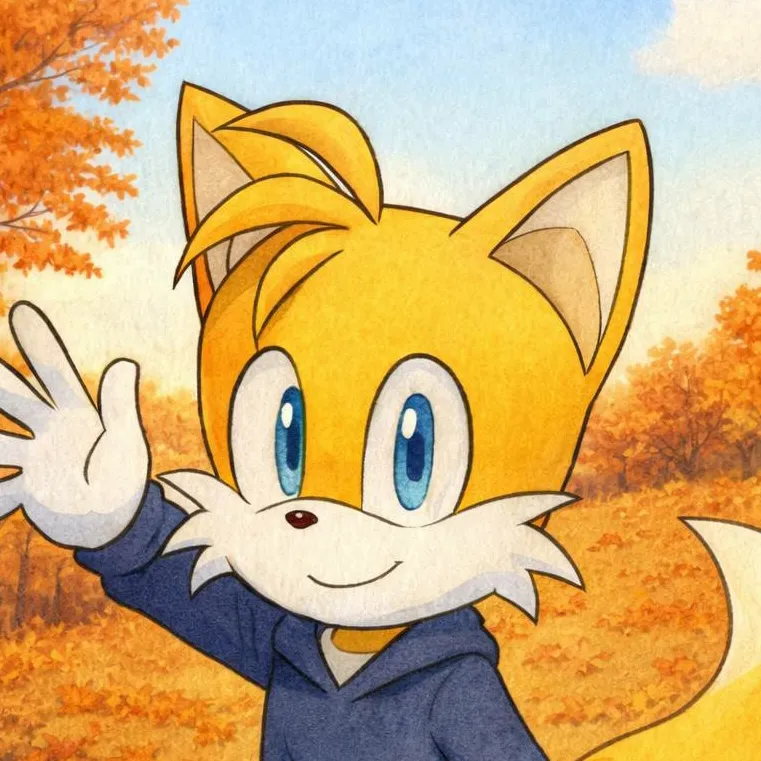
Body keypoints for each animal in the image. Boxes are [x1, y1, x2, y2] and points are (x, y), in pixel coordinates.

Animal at [0, 82, 757, 760]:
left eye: (413, 455)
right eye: (285, 440)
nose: (301, 517)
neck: (358, 643)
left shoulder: (463, 695)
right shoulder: (270, 634)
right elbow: (173, 585)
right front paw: (88, 481)